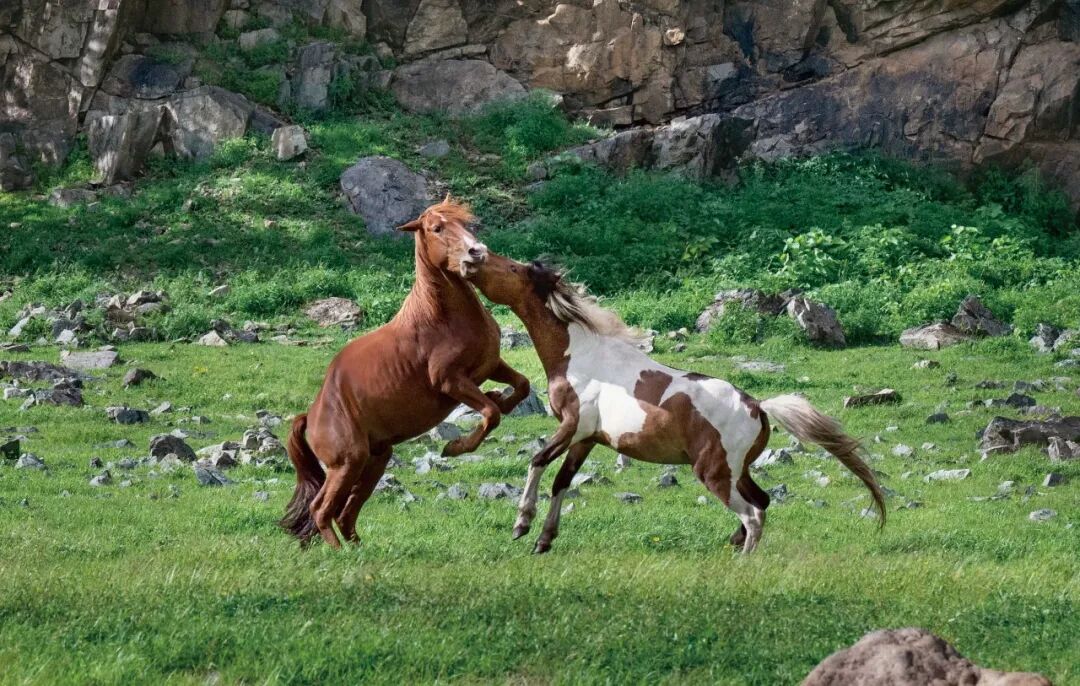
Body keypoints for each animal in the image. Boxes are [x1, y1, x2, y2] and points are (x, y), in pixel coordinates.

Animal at [280, 199, 531, 548]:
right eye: (437, 228)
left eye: (467, 224)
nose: (476, 252)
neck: (440, 319)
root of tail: (312, 415)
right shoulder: (450, 381)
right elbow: (491, 413)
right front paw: (455, 447)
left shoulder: (491, 365)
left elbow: (521, 386)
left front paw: (500, 396)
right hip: (347, 464)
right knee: (322, 510)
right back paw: (340, 553)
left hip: (375, 460)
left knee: (345, 513)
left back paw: (359, 550)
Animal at [468, 253, 886, 554]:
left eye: (509, 266)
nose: (473, 255)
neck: (580, 355)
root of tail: (759, 406)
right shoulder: (587, 438)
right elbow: (561, 482)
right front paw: (543, 540)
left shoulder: (574, 424)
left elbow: (537, 461)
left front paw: (521, 525)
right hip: (736, 471)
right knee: (763, 503)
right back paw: (734, 543)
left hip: (714, 473)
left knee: (753, 515)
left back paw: (742, 560)